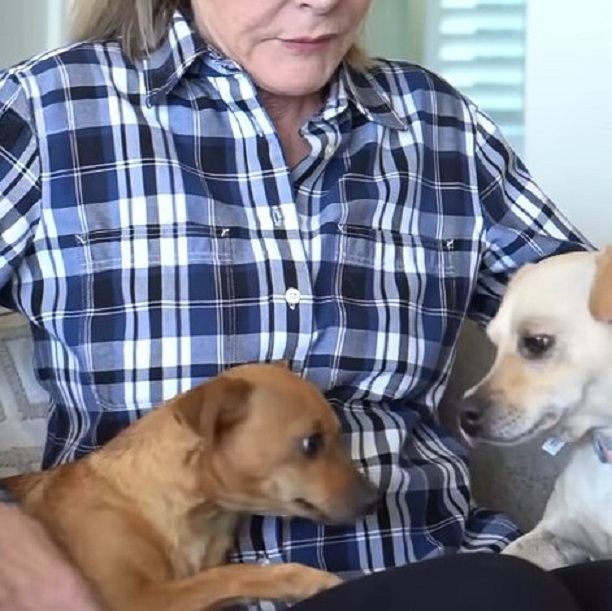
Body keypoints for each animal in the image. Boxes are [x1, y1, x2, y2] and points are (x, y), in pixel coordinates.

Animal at [2, 364, 378, 611]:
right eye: (311, 443)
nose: (375, 500)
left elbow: (222, 578)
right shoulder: (139, 600)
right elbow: (232, 574)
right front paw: (305, 580)